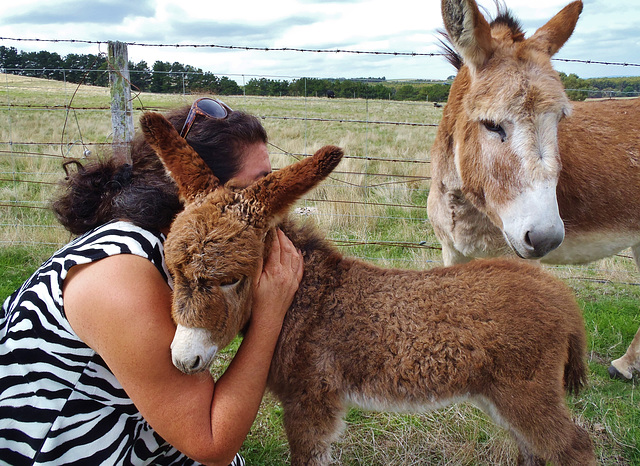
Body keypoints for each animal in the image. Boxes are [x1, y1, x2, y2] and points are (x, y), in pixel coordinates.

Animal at [141, 113, 596, 466]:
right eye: (172, 270)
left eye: (233, 279)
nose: (183, 360)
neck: (305, 298)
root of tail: (561, 296)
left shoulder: (310, 399)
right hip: (499, 395)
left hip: (526, 391)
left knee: (575, 447)